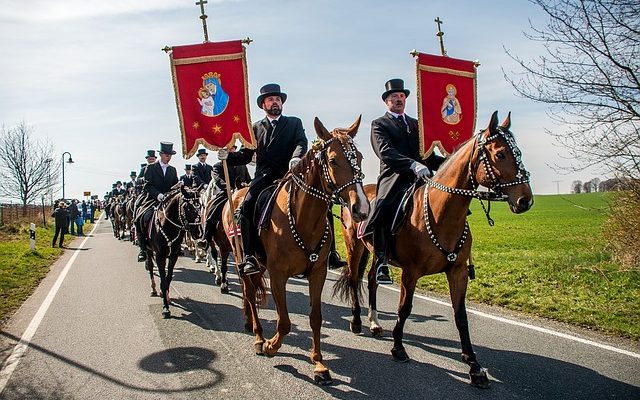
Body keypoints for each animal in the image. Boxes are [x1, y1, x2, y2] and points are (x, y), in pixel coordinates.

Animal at [142, 184, 202, 318]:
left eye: (200, 205)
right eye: (187, 208)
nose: (198, 233)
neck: (169, 227)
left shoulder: (173, 255)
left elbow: (168, 278)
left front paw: (166, 297)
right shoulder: (160, 256)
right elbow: (163, 280)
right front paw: (165, 308)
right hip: (148, 250)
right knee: (150, 266)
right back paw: (153, 289)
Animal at [222, 115, 368, 384]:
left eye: (360, 157)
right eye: (333, 160)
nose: (361, 209)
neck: (301, 218)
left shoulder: (318, 273)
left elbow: (315, 318)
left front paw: (319, 364)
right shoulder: (278, 275)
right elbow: (285, 322)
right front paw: (271, 346)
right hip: (241, 260)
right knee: (250, 294)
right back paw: (258, 337)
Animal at [332, 111, 532, 388]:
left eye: (518, 152)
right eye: (501, 154)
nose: (526, 200)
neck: (440, 213)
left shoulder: (457, 272)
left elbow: (461, 316)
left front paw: (474, 365)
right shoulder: (411, 273)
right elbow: (404, 309)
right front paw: (398, 348)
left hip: (376, 254)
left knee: (372, 279)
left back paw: (374, 323)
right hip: (355, 246)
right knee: (354, 279)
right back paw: (356, 322)